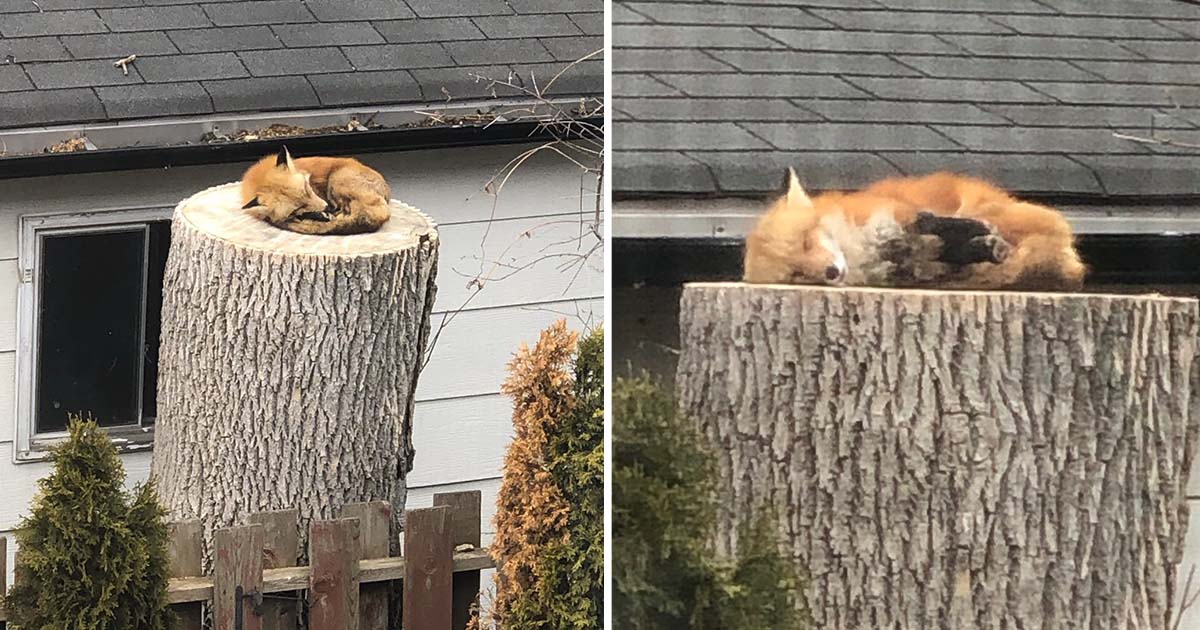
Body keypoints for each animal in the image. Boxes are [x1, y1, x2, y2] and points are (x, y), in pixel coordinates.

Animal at [743, 169, 1086, 291]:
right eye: (797, 274)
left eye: (806, 241)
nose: (830, 272)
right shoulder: (912, 265)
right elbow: (943, 254)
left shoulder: (896, 216)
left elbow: (929, 222)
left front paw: (976, 236)